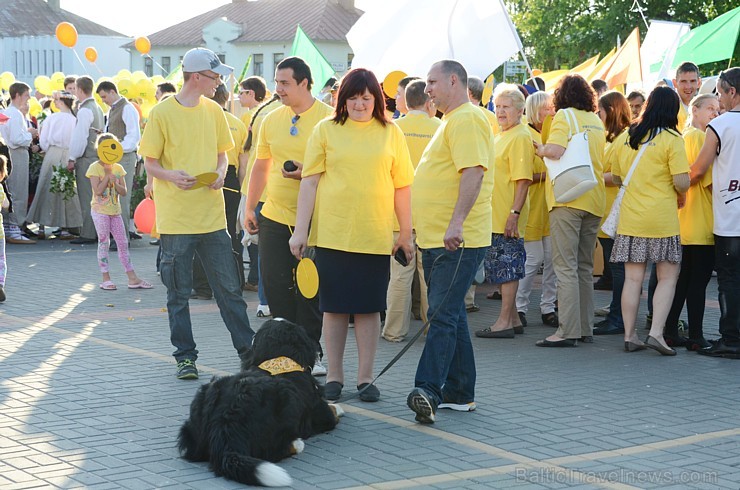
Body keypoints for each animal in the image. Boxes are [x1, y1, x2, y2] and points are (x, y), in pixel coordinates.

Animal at [178, 318, 342, 486]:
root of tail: (225, 424)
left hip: (204, 398)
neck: (280, 361)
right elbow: (334, 410)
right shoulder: (323, 415)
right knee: (272, 452)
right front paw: (338, 407)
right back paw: (296, 443)